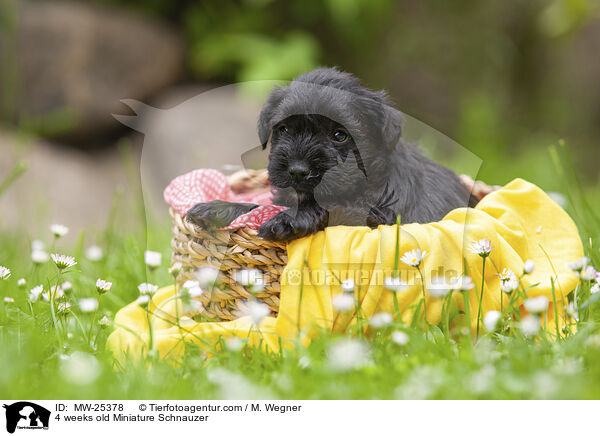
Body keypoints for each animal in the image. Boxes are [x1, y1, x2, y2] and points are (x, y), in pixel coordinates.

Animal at [188, 67, 474, 242]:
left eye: (339, 135)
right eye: (284, 129)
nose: (298, 171)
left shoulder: (369, 218)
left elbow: (325, 208)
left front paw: (287, 219)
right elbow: (260, 204)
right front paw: (216, 208)